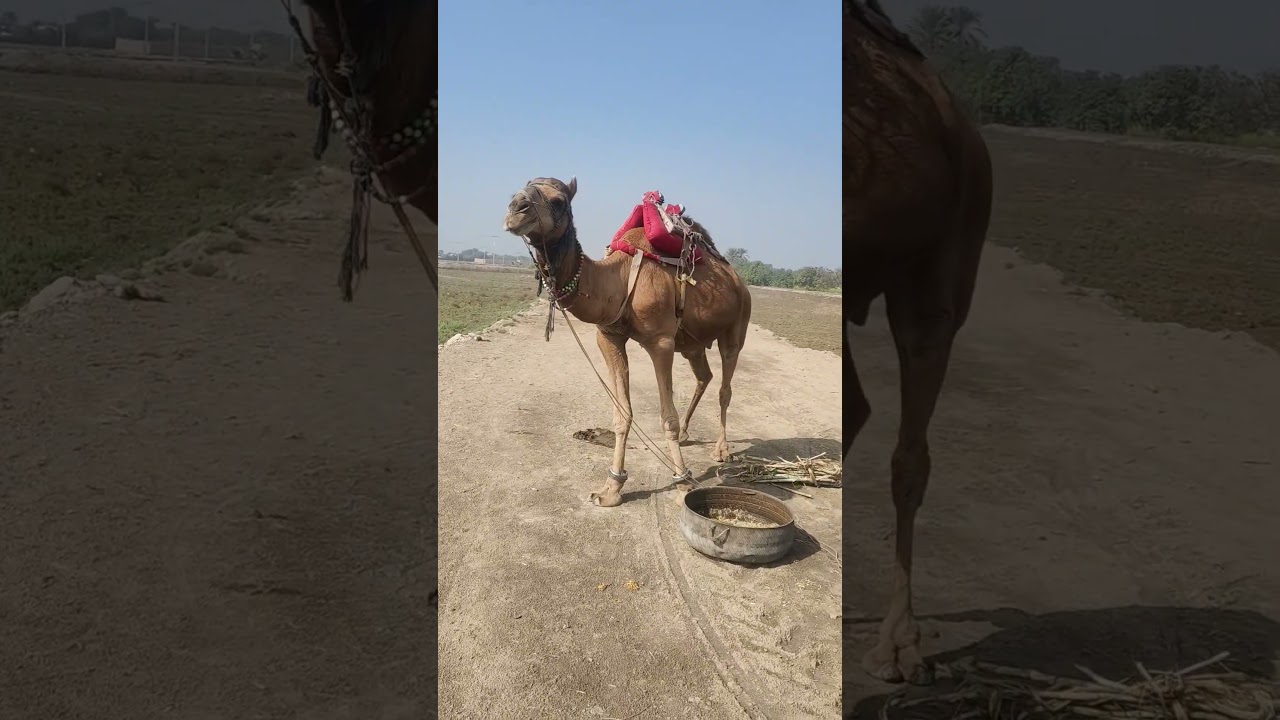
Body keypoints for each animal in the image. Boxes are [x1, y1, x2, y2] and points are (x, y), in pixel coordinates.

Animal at [502, 177, 752, 507]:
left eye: (558, 201)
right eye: (517, 192)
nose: (516, 209)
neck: (618, 279)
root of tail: (738, 280)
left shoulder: (661, 342)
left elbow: (667, 418)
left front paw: (683, 482)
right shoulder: (608, 337)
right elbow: (622, 414)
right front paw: (611, 488)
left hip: (737, 324)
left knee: (725, 385)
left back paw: (721, 450)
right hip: (692, 343)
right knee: (704, 376)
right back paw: (688, 433)